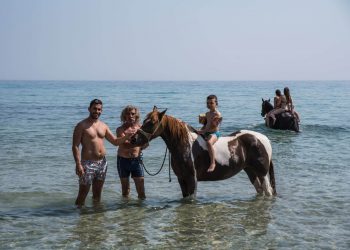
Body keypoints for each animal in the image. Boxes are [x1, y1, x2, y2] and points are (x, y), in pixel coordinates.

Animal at [131, 106, 276, 198]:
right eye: (144, 121)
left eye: (152, 122)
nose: (133, 139)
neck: (185, 146)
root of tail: (264, 139)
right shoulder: (181, 179)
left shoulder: (192, 179)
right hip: (250, 170)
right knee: (260, 191)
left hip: (262, 173)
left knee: (268, 191)